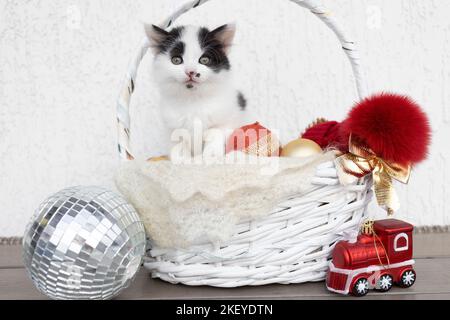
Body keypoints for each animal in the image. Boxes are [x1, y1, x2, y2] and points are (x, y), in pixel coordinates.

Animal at [144, 24, 250, 160]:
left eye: (204, 60)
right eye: (176, 60)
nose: (191, 72)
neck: (193, 99)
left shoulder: (229, 117)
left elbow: (216, 133)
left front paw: (211, 155)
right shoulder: (171, 127)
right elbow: (178, 142)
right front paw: (182, 159)